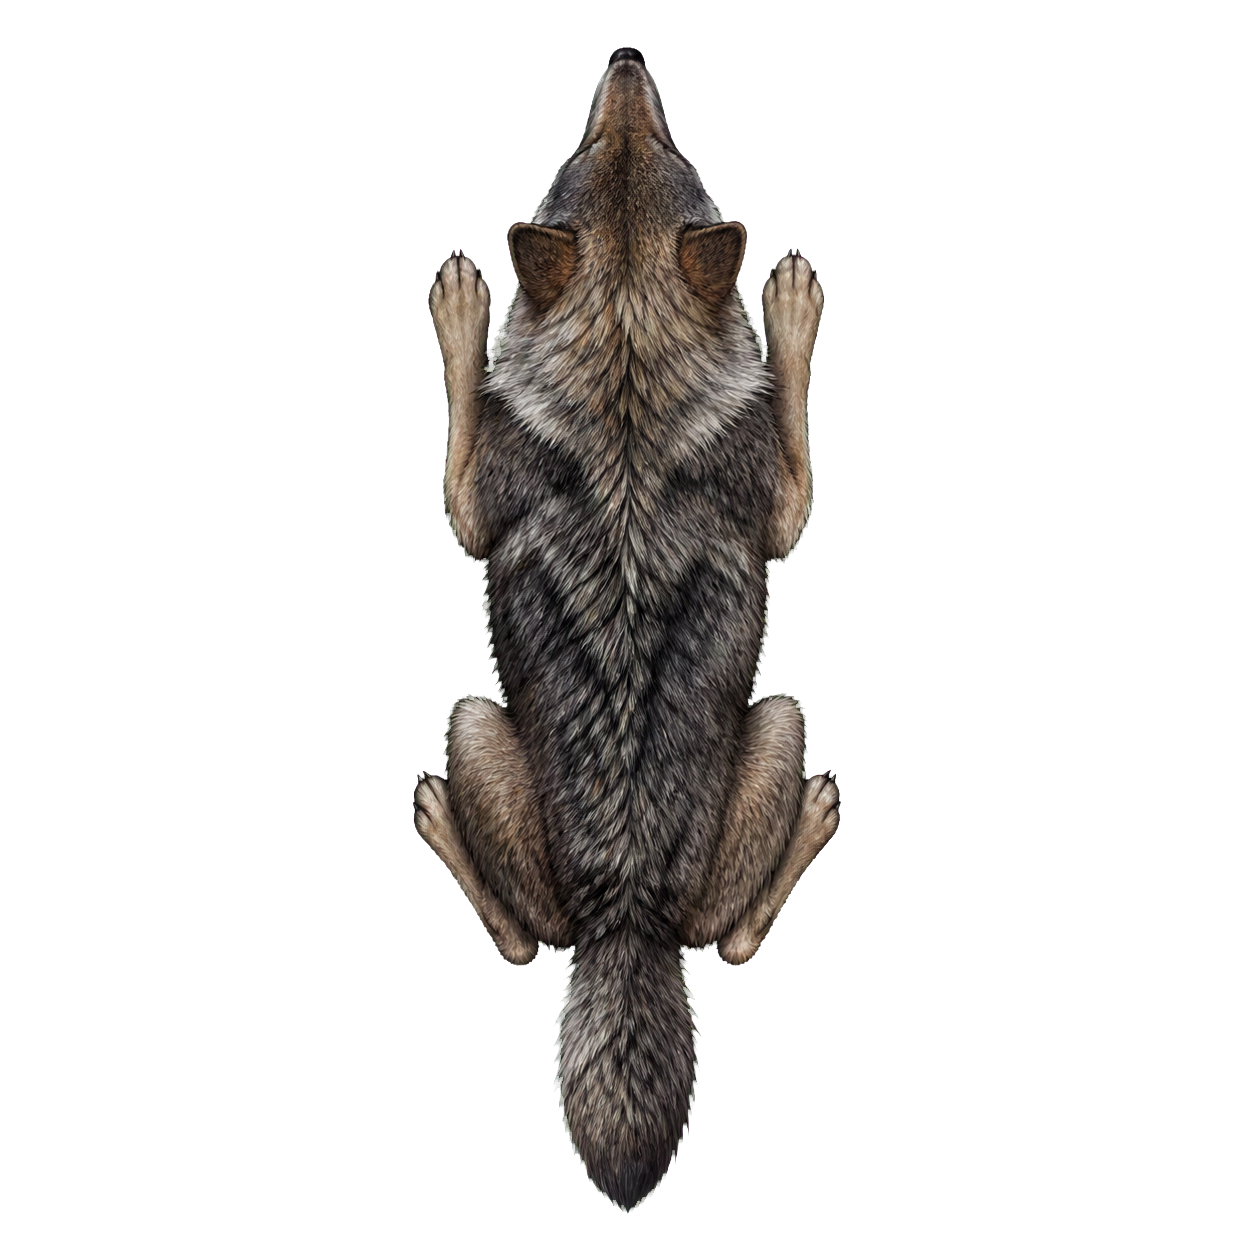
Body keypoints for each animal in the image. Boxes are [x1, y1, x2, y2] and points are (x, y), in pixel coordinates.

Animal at [414, 47, 838, 1212]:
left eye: (673, 154)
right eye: (585, 152)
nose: (626, 62)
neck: (626, 359)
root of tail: (626, 916)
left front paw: (791, 310)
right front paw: (462, 309)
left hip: (752, 719)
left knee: (708, 943)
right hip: (490, 722)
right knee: (560, 945)